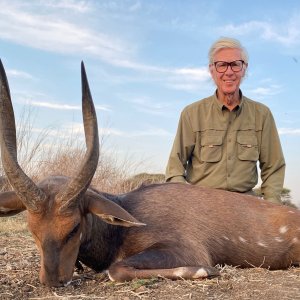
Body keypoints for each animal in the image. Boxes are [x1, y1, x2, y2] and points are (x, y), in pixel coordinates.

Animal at [0, 59, 300, 288]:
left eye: (73, 228)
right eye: (31, 229)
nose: (53, 281)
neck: (123, 222)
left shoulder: (187, 249)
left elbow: (116, 270)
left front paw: (205, 271)